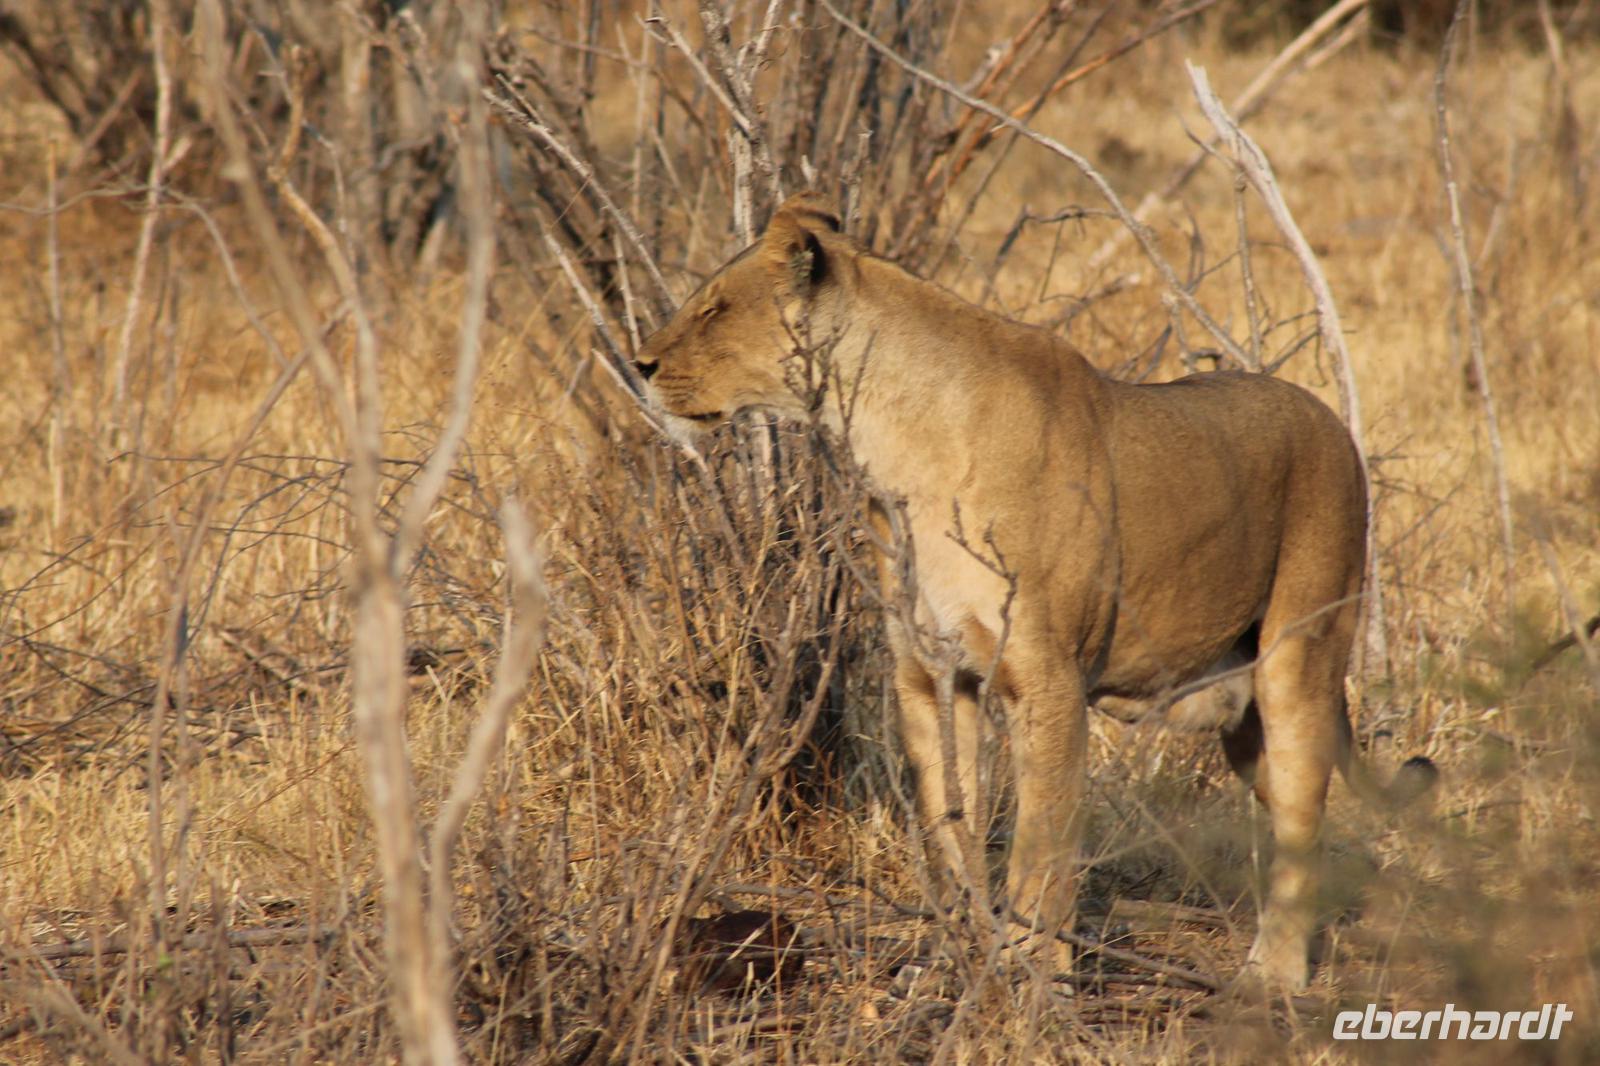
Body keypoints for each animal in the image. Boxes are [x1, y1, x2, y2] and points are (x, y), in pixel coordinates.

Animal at [635, 193, 1435, 989]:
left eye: (714, 309)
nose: (640, 364)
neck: (888, 435)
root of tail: (1332, 421)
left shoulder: (1049, 679)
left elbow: (1041, 842)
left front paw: (1032, 971)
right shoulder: (928, 673)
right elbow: (948, 823)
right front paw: (959, 951)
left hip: (1299, 657)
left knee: (1304, 813)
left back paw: (1274, 974)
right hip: (1242, 721)